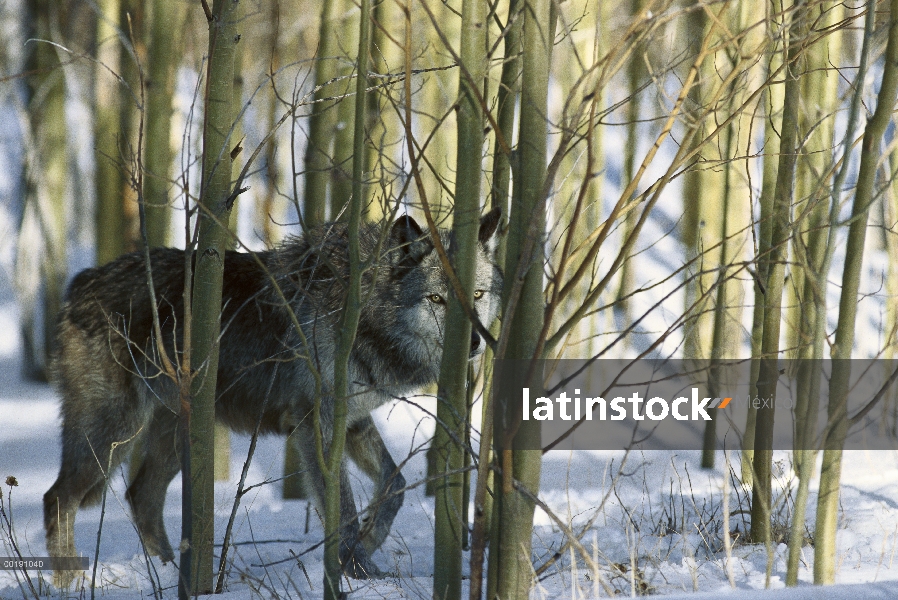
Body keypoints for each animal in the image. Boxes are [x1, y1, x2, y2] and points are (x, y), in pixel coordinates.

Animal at [42, 209, 500, 584]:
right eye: (436, 299)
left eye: (476, 295)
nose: (476, 343)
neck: (363, 315)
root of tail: (83, 279)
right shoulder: (316, 425)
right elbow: (343, 509)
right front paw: (356, 570)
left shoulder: (352, 422)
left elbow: (396, 484)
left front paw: (368, 546)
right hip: (112, 435)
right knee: (58, 498)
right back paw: (71, 583)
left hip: (176, 435)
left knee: (142, 498)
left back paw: (171, 573)